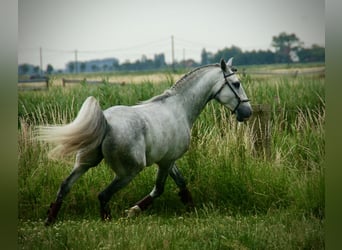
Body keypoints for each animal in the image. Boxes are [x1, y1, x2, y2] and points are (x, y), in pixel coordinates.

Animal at [38, 58, 252, 225]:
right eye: (236, 83)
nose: (247, 112)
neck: (180, 108)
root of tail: (105, 122)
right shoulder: (166, 162)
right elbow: (159, 189)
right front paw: (132, 211)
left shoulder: (168, 159)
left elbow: (182, 183)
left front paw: (192, 209)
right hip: (128, 171)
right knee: (103, 195)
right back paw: (107, 220)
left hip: (85, 163)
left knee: (64, 186)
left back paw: (50, 220)